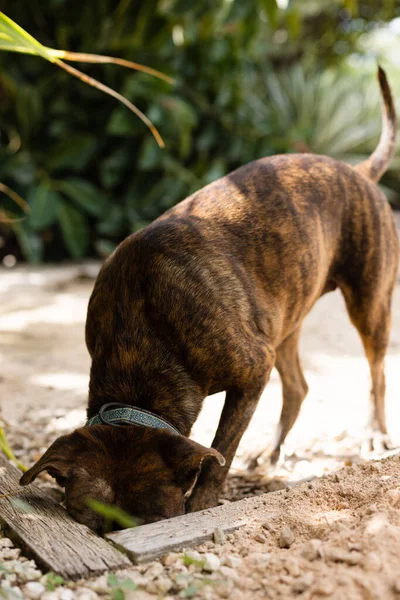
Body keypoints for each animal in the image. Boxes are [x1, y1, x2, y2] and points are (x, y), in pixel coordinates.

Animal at [21, 68, 400, 532]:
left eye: (149, 521)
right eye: (87, 522)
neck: (138, 346)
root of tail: (356, 170)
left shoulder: (252, 369)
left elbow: (220, 451)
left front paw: (201, 505)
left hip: (369, 302)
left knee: (376, 373)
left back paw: (375, 433)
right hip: (283, 320)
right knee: (297, 386)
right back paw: (272, 451)